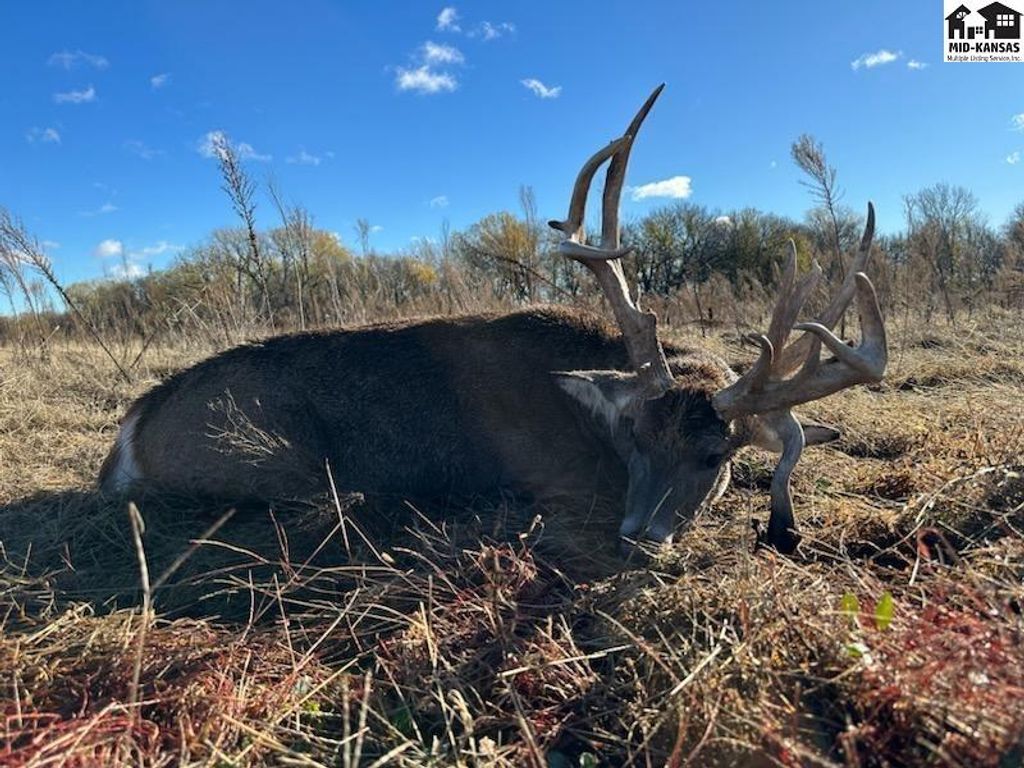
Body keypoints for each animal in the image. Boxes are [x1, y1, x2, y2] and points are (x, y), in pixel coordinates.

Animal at [99, 85, 887, 555]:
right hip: (266, 454)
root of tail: (136, 423)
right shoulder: (552, 475)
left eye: (715, 456)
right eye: (634, 434)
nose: (638, 536)